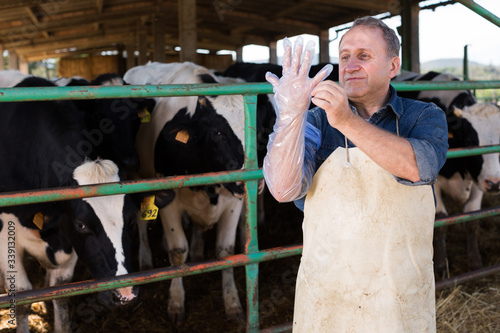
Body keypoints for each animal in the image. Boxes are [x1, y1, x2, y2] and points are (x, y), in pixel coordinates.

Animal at [0, 76, 143, 330]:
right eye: (81, 225)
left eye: (131, 218)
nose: (125, 293)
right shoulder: (5, 230)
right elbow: (23, 297)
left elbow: (61, 295)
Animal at [124, 62, 247, 322]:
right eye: (218, 133)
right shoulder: (168, 200)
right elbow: (178, 251)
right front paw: (176, 302)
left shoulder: (232, 203)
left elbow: (226, 251)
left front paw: (232, 303)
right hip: (135, 176)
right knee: (140, 220)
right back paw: (146, 259)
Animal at [394, 70, 500, 274]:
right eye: (470, 141)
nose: (495, 183)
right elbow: (441, 221)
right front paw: (441, 266)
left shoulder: (478, 180)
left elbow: (472, 219)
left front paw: (475, 261)